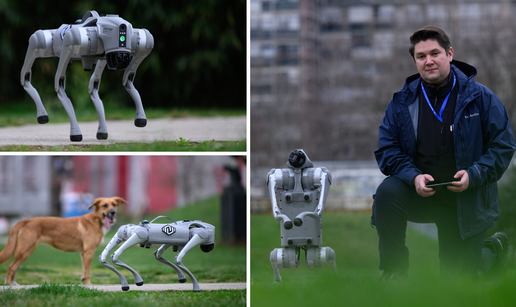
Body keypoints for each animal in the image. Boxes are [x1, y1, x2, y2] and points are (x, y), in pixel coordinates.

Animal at [20, 10, 153, 143]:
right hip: (44, 43)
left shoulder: (140, 44)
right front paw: (76, 133)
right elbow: (59, 83)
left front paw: (139, 119)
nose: (121, 60)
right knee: (35, 44)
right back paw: (41, 112)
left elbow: (124, 79)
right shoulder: (73, 40)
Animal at [268, 149, 336, 284]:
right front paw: (277, 212)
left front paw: (318, 209)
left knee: (327, 254)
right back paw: (277, 281)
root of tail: (300, 244)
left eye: (298, 156)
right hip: (289, 249)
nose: (294, 222)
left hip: (314, 249)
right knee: (276, 256)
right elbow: (271, 177)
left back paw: (335, 278)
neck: (298, 172)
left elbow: (326, 176)